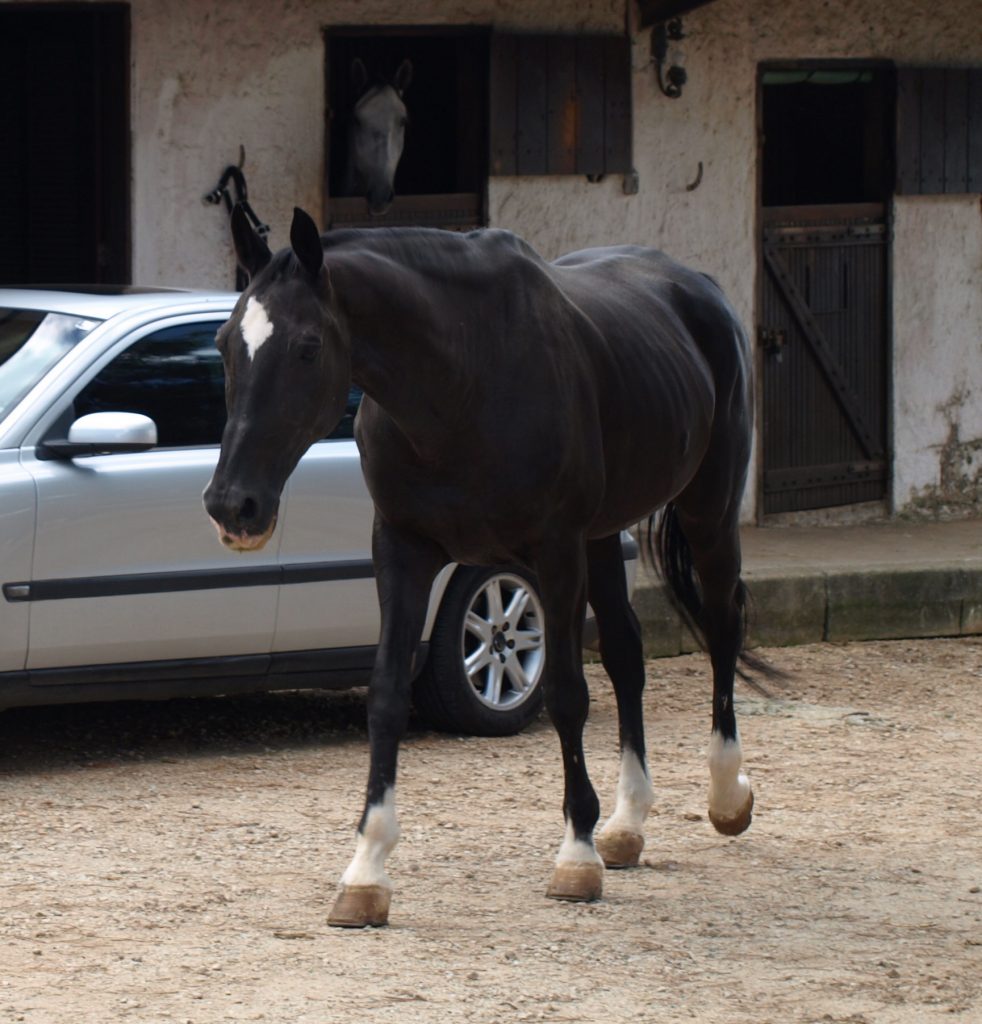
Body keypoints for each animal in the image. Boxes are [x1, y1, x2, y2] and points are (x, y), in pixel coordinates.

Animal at [204, 205, 761, 928]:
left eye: (307, 347)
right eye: (224, 344)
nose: (232, 505)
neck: (461, 383)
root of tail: (699, 288)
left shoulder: (553, 552)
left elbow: (565, 694)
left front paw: (575, 856)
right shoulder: (402, 551)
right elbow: (387, 695)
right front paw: (366, 870)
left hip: (707, 509)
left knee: (721, 626)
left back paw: (725, 796)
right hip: (603, 537)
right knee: (627, 653)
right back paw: (627, 823)